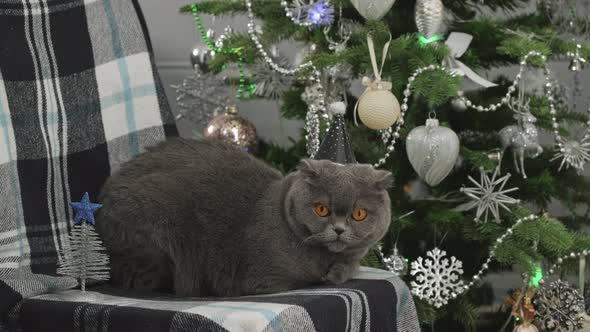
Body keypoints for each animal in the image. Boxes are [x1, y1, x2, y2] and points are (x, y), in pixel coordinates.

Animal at [96, 137, 394, 296]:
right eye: (321, 209)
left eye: (359, 214)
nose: (339, 230)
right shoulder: (263, 280)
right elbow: (306, 279)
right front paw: (327, 275)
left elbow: (349, 266)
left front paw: (339, 272)